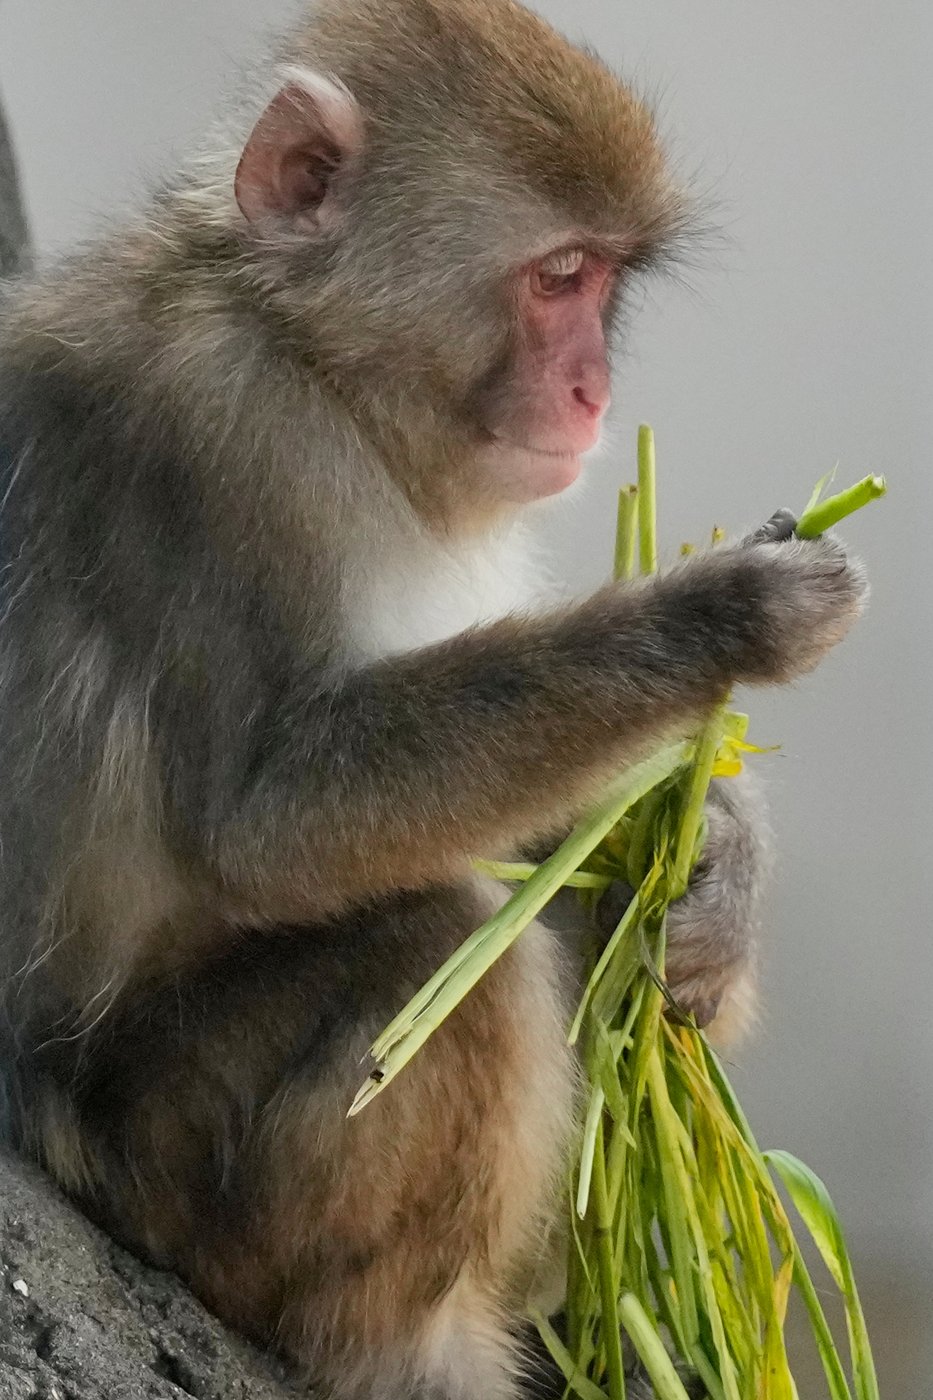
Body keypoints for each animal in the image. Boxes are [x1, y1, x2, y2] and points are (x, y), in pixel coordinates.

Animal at [0, 2, 866, 1397]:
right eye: (557, 276)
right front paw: (719, 616)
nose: (592, 393)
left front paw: (716, 861)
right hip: (167, 1163)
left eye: (606, 283)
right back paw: (410, 1348)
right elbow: (274, 822)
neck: (320, 367)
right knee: (444, 942)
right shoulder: (221, 438)